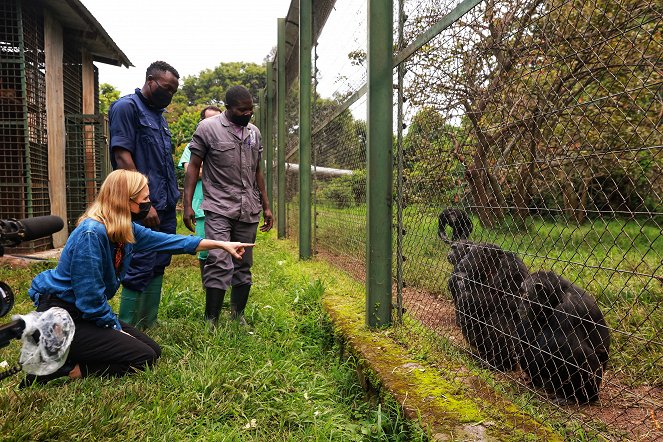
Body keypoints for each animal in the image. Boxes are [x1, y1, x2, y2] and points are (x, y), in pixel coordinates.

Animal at [448, 243, 532, 372]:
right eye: (467, 252)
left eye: (470, 253)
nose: (463, 258)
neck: (491, 268)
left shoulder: (512, 267)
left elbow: (516, 301)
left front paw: (467, 298)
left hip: (518, 351)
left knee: (497, 319)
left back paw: (501, 365)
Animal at [520, 270, 612, 404]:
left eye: (526, 297)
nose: (520, 305)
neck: (557, 295)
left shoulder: (566, 309)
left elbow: (552, 347)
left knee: (579, 355)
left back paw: (577, 397)